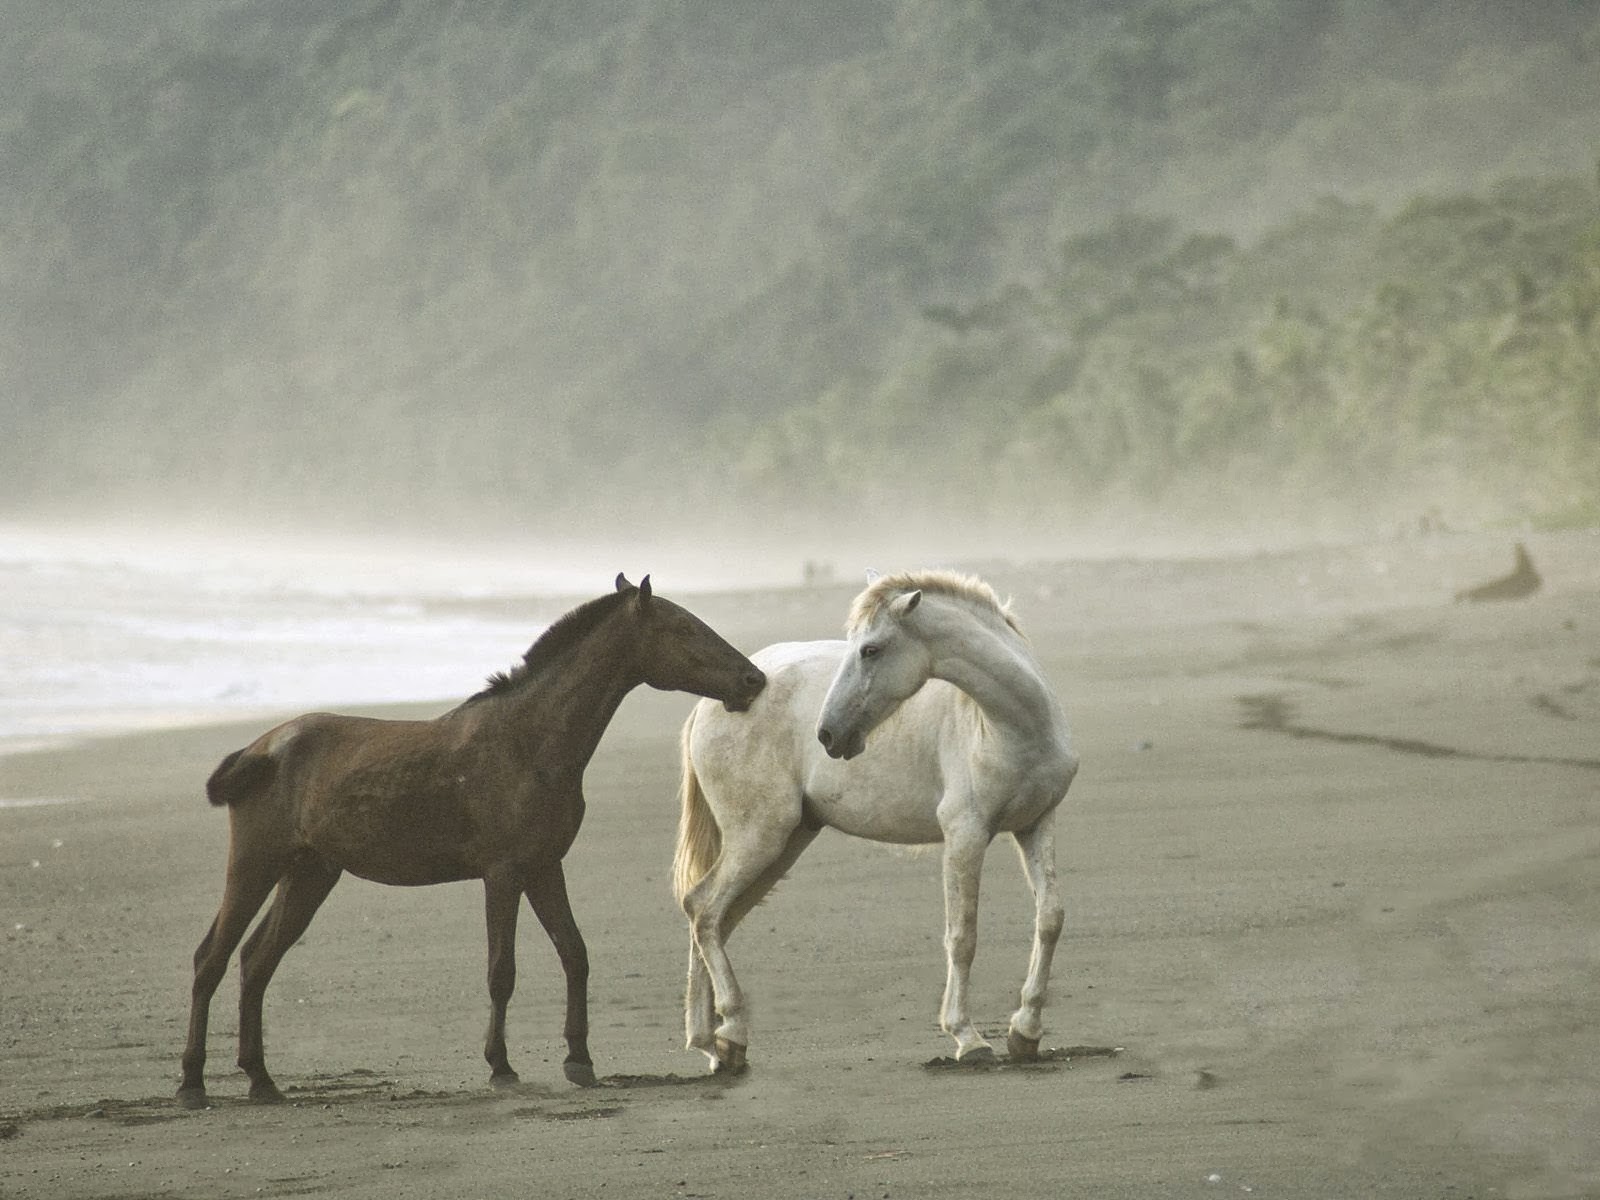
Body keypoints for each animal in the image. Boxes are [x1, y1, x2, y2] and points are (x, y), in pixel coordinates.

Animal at [178, 579, 764, 1113]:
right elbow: (501, 970)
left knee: (256, 960)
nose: (753, 679)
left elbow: (574, 954)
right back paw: (192, 1083)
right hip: (256, 863)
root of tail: (259, 749)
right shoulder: (502, 872)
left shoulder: (544, 867)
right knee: (212, 957)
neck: (529, 743)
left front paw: (580, 1060)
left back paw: (260, 1080)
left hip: (310, 873)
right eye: (682, 628)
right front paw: (501, 1067)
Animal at [672, 569, 1075, 1075]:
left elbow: (1050, 918)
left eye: (871, 649)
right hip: (759, 838)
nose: (828, 734)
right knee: (704, 909)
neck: (1012, 727)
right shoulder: (965, 834)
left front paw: (1026, 1031)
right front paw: (968, 1038)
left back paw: (715, 1043)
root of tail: (712, 703)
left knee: (712, 918)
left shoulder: (1037, 824)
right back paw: (729, 1033)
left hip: (784, 843)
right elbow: (962, 935)